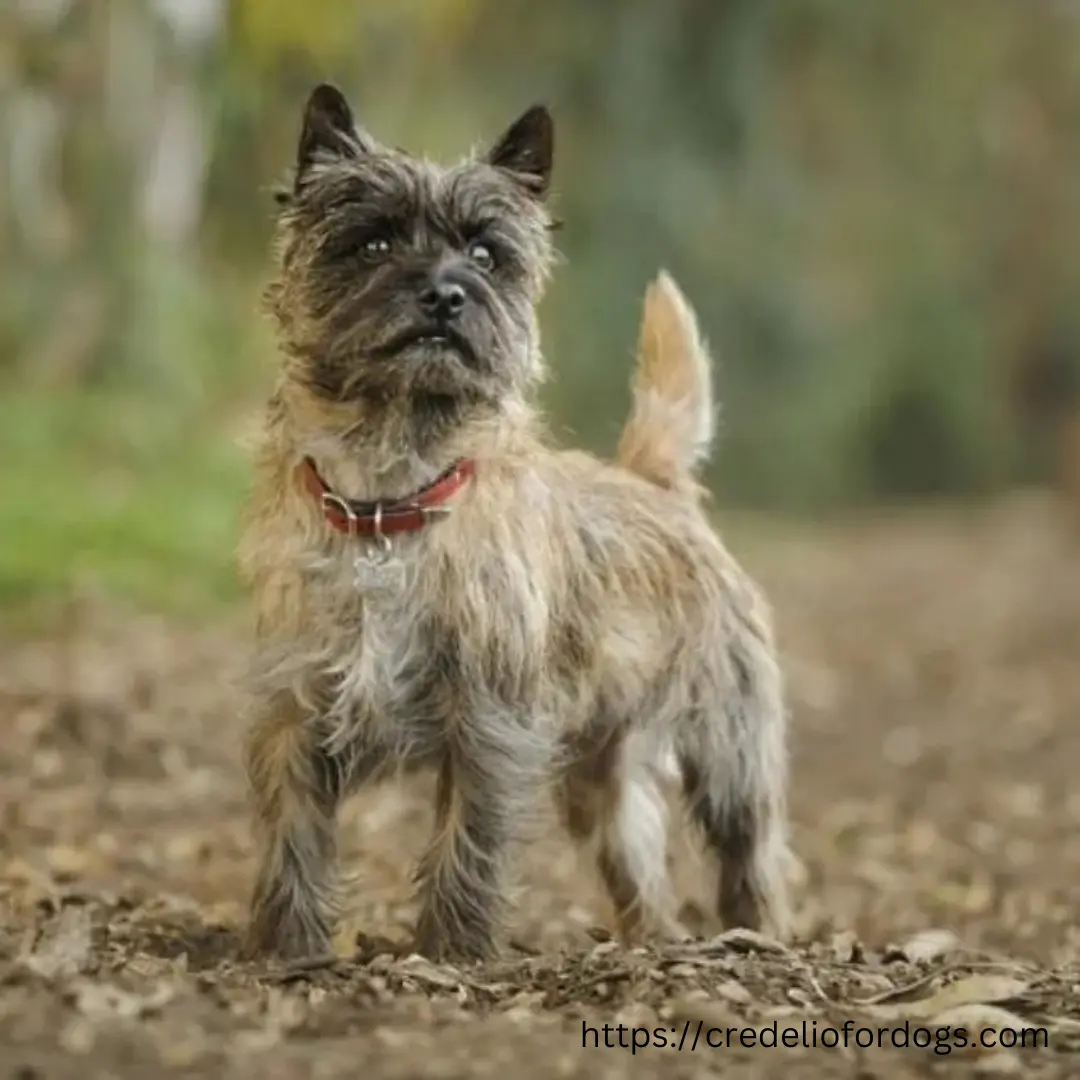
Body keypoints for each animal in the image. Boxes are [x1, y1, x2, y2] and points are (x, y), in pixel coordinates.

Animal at [238, 84, 794, 963]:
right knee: (639, 864)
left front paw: (451, 951)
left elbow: (468, 839)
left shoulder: (490, 726)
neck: (390, 496)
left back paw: (759, 936)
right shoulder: (294, 710)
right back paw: (652, 940)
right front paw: (287, 948)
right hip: (604, 775)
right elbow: (292, 835)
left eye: (486, 254)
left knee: (752, 853)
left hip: (729, 748)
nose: (445, 293)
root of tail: (655, 481)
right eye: (374, 241)